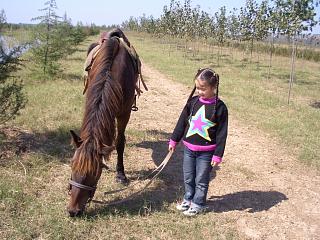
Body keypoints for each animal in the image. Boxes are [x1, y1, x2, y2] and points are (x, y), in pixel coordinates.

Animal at [67, 29, 141, 217]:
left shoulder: (124, 113)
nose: (73, 211)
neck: (110, 75)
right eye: (72, 165)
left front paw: (120, 174)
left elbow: (119, 142)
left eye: (94, 173)